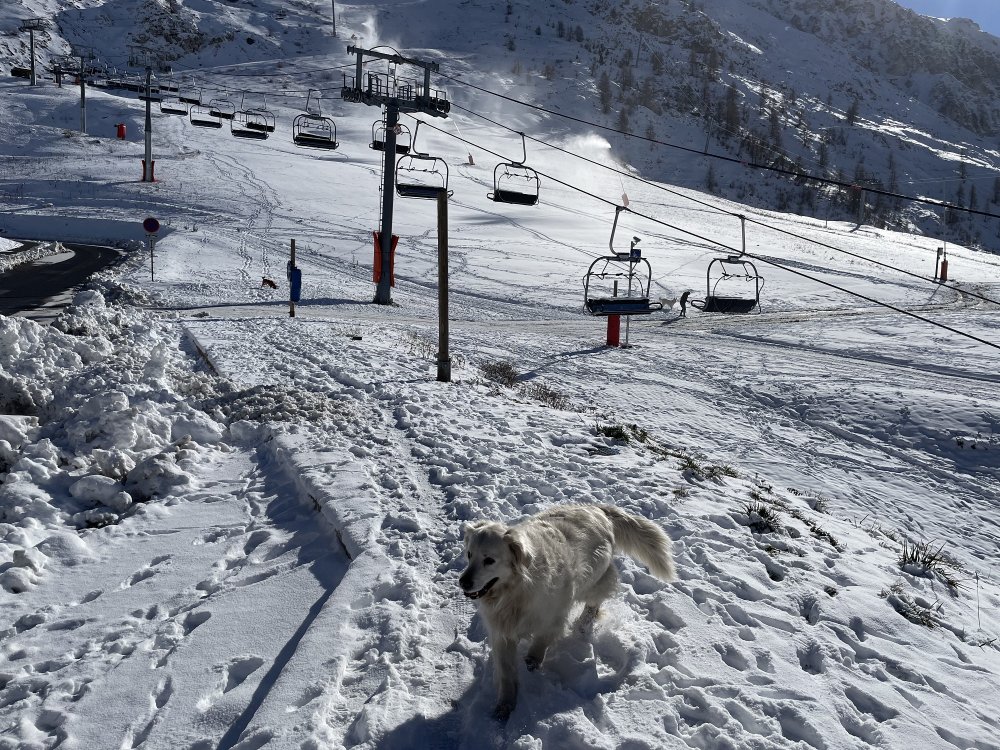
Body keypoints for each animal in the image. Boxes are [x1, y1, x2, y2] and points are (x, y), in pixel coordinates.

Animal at [458, 506, 676, 724]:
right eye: (469, 555)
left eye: (489, 560)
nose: (463, 582)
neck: (516, 592)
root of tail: (597, 508)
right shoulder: (502, 631)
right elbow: (506, 672)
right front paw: (505, 705)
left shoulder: (555, 615)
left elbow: (542, 640)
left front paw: (533, 661)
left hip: (595, 577)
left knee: (594, 603)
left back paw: (583, 624)